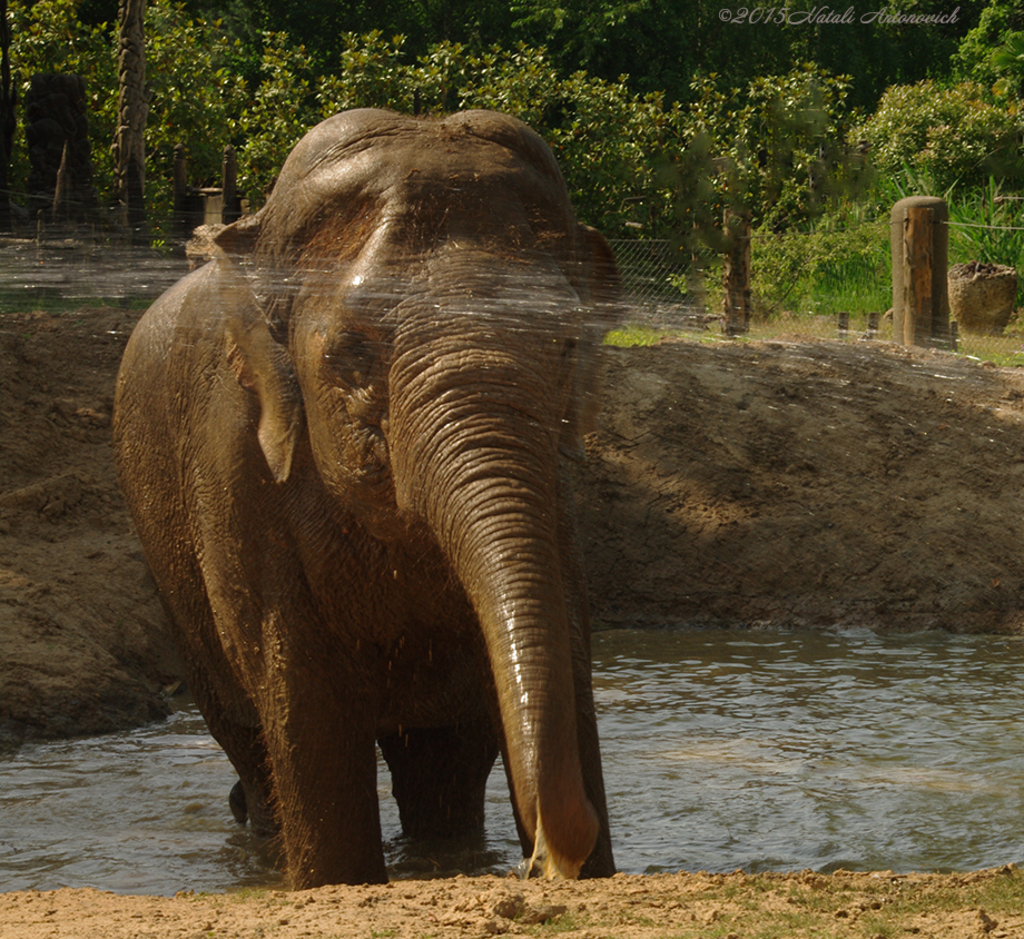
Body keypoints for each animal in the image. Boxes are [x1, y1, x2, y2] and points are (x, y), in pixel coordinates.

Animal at [116, 110, 618, 884]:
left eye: (566, 344)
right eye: (350, 354)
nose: (548, 853)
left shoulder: (555, 496)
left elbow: (565, 630)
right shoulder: (235, 464)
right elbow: (303, 696)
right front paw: (334, 879)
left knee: (443, 765)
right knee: (250, 741)